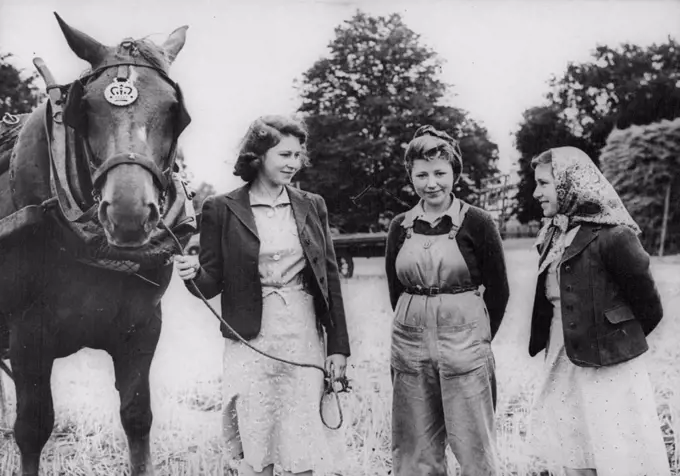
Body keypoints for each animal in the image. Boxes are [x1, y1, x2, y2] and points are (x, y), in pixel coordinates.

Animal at [0, 13, 197, 474]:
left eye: (175, 111)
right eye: (84, 108)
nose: (128, 214)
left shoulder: (143, 328)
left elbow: (137, 417)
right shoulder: (26, 335)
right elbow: (32, 428)